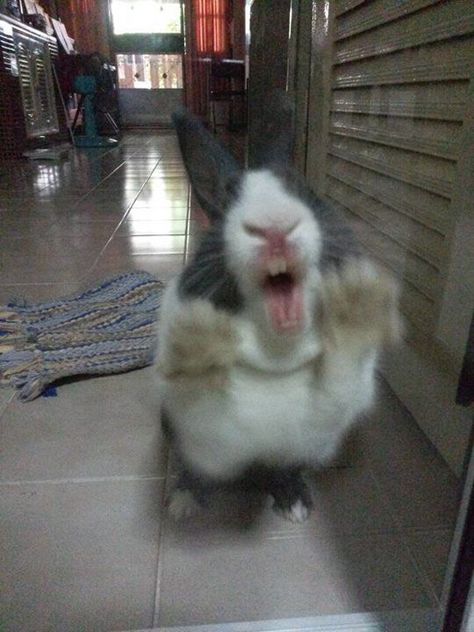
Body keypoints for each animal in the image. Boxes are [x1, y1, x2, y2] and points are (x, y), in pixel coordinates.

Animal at [156, 107, 400, 524]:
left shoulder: (320, 426)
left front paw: (355, 305)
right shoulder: (211, 437)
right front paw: (199, 339)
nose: (274, 226)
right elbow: (205, 420)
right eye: (225, 200)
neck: (277, 355)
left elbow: (339, 376)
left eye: (303, 191)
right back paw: (183, 500)